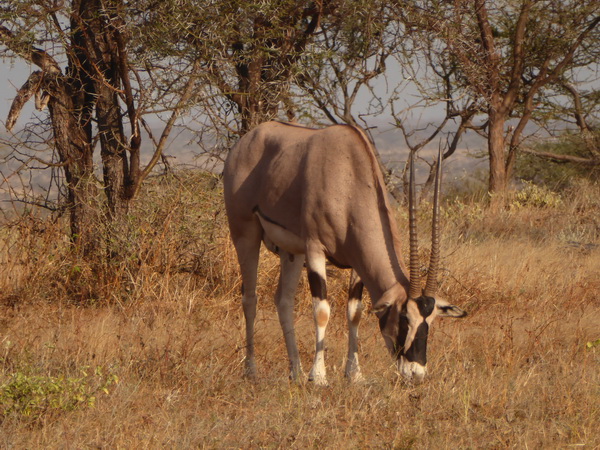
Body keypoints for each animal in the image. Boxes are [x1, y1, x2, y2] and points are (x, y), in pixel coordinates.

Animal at [223, 121, 466, 384]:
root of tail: (247, 140)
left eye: (430, 322)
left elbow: (354, 312)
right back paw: (252, 370)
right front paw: (319, 376)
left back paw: (296, 372)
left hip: (291, 252)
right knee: (250, 299)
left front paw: (354, 374)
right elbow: (321, 311)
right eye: (404, 319)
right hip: (246, 233)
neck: (349, 177)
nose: (416, 373)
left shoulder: (357, 263)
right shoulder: (315, 249)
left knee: (284, 300)